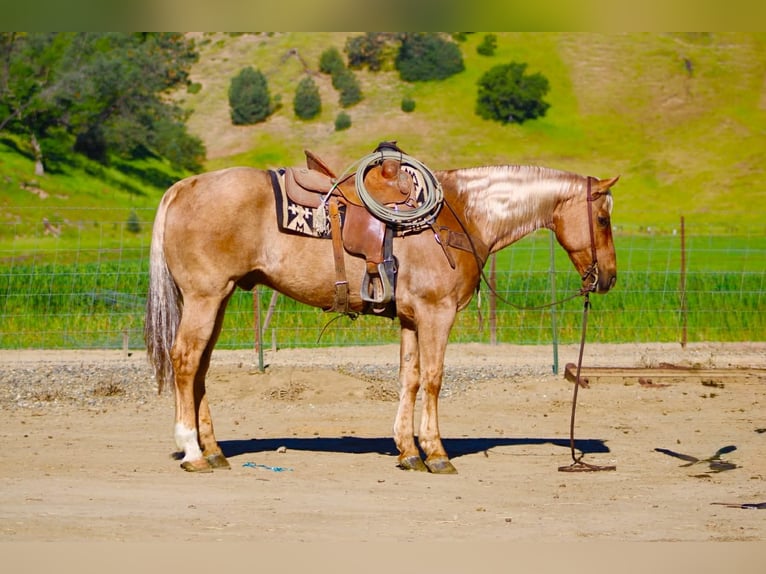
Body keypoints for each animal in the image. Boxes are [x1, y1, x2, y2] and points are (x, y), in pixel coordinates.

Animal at [144, 149, 618, 474]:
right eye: (603, 219)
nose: (609, 278)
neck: (462, 216)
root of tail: (182, 187)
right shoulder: (436, 313)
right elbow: (433, 379)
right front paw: (436, 452)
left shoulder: (410, 318)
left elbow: (409, 378)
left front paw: (408, 451)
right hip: (205, 297)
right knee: (185, 360)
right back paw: (192, 450)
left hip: (218, 298)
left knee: (201, 368)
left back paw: (214, 449)